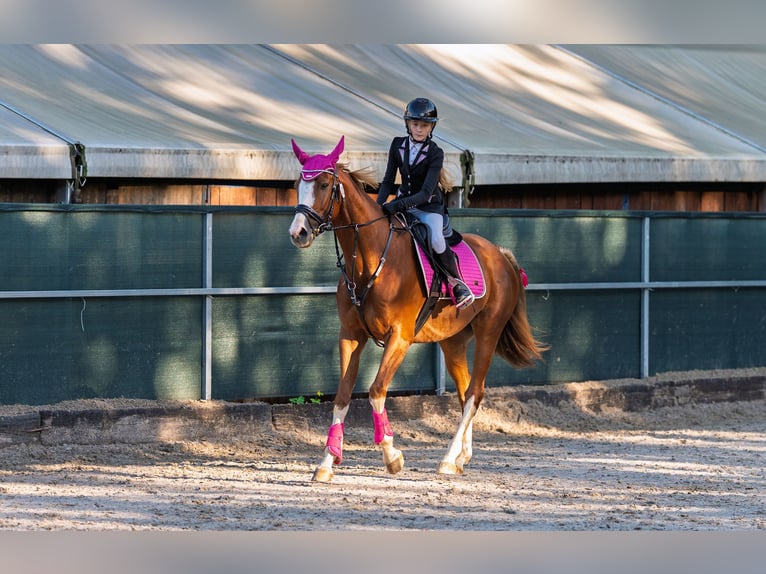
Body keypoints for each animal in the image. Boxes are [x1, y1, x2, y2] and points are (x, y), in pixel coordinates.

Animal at [288, 136, 546, 483]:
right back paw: (462, 457)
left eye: (325, 184)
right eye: (297, 184)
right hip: (453, 342)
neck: (371, 258)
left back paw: (448, 460)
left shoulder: (400, 337)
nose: (298, 233)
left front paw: (392, 456)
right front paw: (327, 462)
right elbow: (342, 396)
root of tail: (501, 255)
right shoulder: (351, 335)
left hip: (488, 333)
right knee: (465, 391)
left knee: (475, 393)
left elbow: (376, 391)